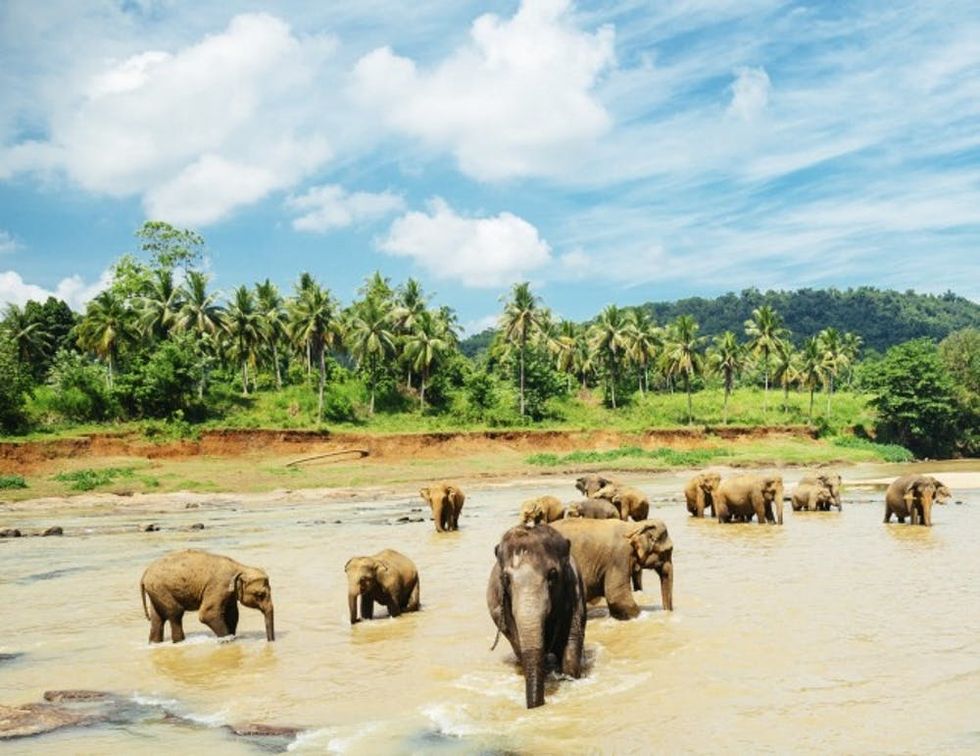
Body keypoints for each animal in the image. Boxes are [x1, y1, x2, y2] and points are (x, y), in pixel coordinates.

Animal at [140, 550, 275, 643]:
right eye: (260, 594)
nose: (270, 642)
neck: (240, 567)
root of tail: (145, 573)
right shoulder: (219, 586)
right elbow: (208, 614)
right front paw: (227, 640)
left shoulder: (229, 593)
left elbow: (232, 615)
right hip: (161, 589)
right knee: (175, 614)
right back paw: (179, 642)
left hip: (155, 591)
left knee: (157, 619)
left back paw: (155, 643)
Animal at [487, 524, 586, 709]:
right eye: (505, 578)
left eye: (553, 574)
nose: (535, 706)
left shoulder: (574, 593)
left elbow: (571, 642)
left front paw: (568, 677)